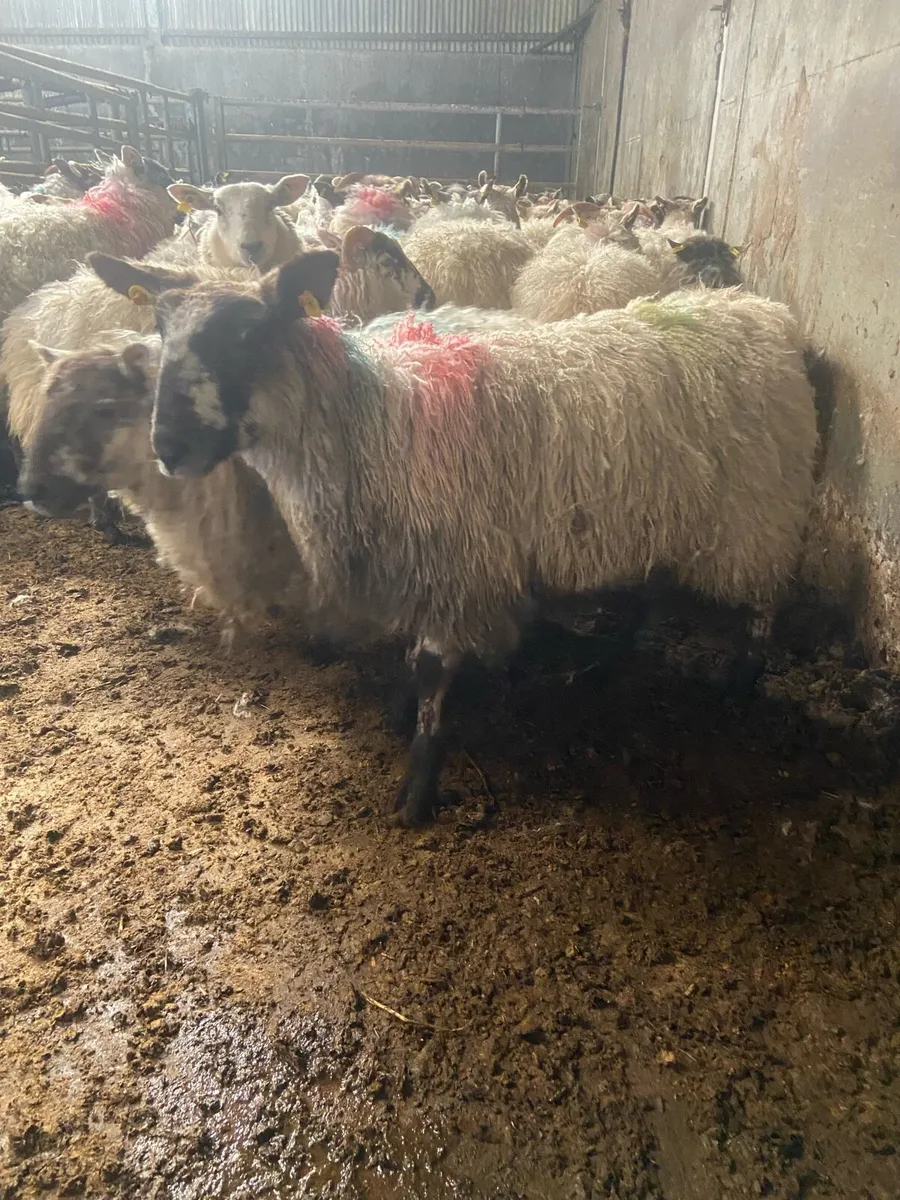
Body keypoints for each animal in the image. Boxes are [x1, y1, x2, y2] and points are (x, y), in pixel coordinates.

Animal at [92, 250, 818, 828]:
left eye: (246, 332)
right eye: (161, 328)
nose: (168, 446)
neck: (365, 422)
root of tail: (764, 316)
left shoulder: (455, 562)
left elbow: (432, 668)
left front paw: (418, 786)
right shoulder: (419, 563)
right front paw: (398, 713)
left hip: (755, 510)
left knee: (764, 600)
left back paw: (740, 681)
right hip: (661, 512)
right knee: (652, 592)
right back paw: (604, 662)